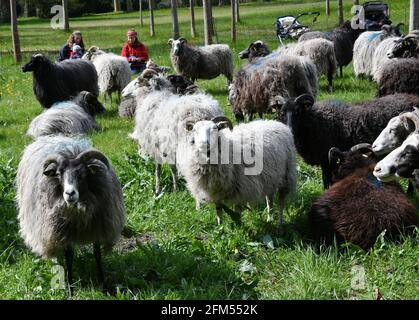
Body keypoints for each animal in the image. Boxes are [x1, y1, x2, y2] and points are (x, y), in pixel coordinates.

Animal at [278, 92, 419, 189]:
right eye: (282, 113)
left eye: (298, 111)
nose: (289, 129)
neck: (315, 122)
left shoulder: (326, 160)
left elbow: (326, 180)